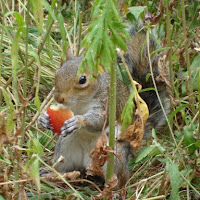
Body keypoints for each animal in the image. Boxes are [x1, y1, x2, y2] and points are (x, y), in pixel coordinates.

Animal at [38, 27, 170, 188]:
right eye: (58, 73)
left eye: (82, 79)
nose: (58, 97)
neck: (81, 101)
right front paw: (44, 119)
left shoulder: (107, 104)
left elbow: (99, 121)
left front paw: (78, 121)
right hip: (65, 148)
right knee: (65, 168)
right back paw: (51, 173)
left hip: (113, 158)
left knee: (120, 178)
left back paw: (115, 189)